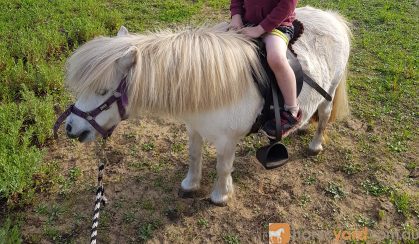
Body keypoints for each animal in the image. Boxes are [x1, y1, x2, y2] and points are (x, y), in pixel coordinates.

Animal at [63, 6, 352, 205]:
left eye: (102, 91)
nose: (70, 128)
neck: (210, 83)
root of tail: (330, 16)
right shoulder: (194, 127)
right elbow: (194, 155)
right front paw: (190, 184)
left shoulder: (227, 140)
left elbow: (222, 166)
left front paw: (220, 195)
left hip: (330, 90)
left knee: (324, 115)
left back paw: (314, 144)